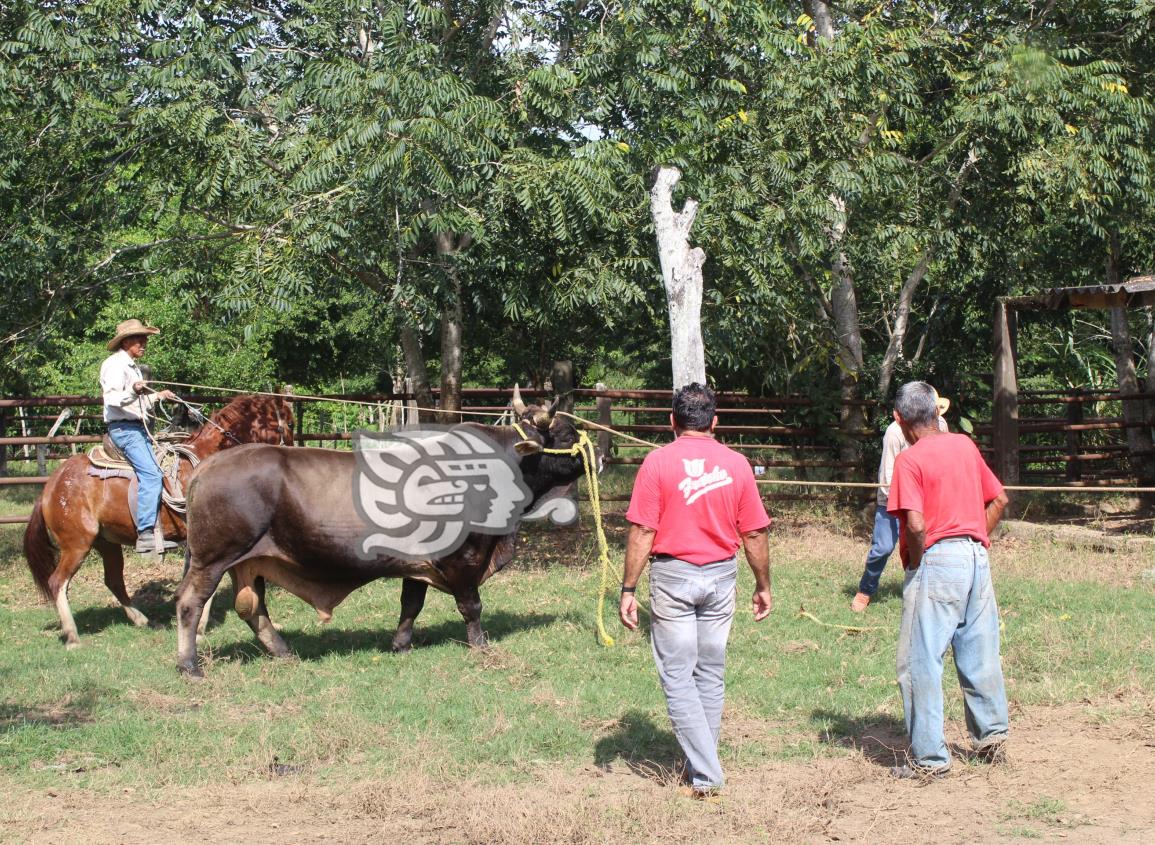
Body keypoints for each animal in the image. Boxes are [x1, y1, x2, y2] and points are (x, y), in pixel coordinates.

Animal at [23, 394, 295, 646]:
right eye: (290, 423)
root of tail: (51, 486)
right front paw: (199, 628)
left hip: (107, 543)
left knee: (113, 581)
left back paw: (142, 619)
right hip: (76, 544)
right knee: (58, 582)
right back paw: (72, 636)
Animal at [175, 392, 591, 678]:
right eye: (567, 433)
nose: (597, 455)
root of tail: (207, 466)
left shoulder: (417, 563)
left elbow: (411, 604)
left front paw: (401, 645)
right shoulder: (463, 560)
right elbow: (471, 606)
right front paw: (481, 647)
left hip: (249, 561)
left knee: (251, 607)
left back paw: (283, 651)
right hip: (213, 558)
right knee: (190, 603)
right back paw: (190, 665)